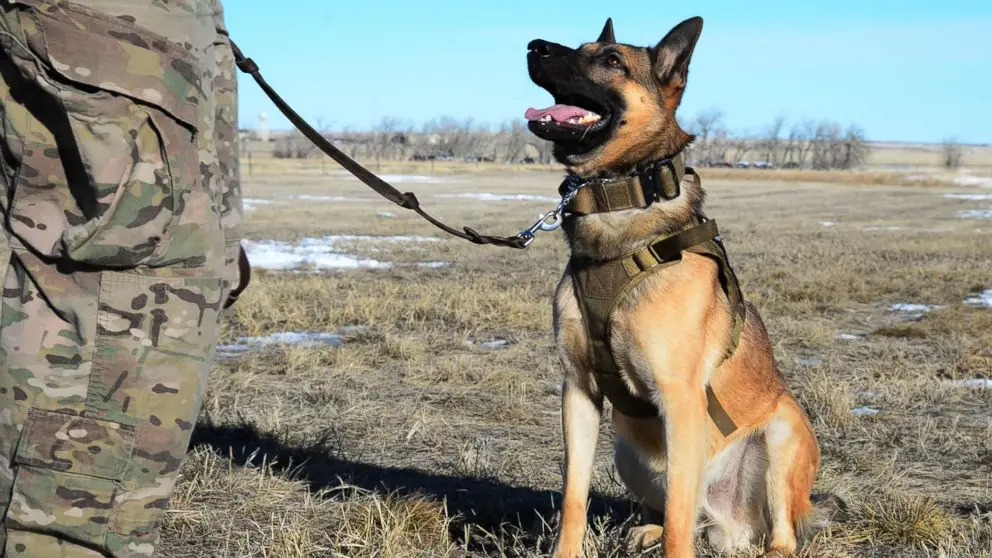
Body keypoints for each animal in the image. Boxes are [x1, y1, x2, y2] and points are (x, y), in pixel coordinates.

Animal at [528, 17, 820, 558]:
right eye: (579, 46)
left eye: (612, 61)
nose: (533, 46)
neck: (620, 200)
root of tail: (729, 525)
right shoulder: (578, 390)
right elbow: (575, 496)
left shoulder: (680, 402)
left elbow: (681, 522)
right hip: (627, 449)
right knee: (674, 511)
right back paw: (647, 529)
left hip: (783, 432)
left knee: (775, 533)